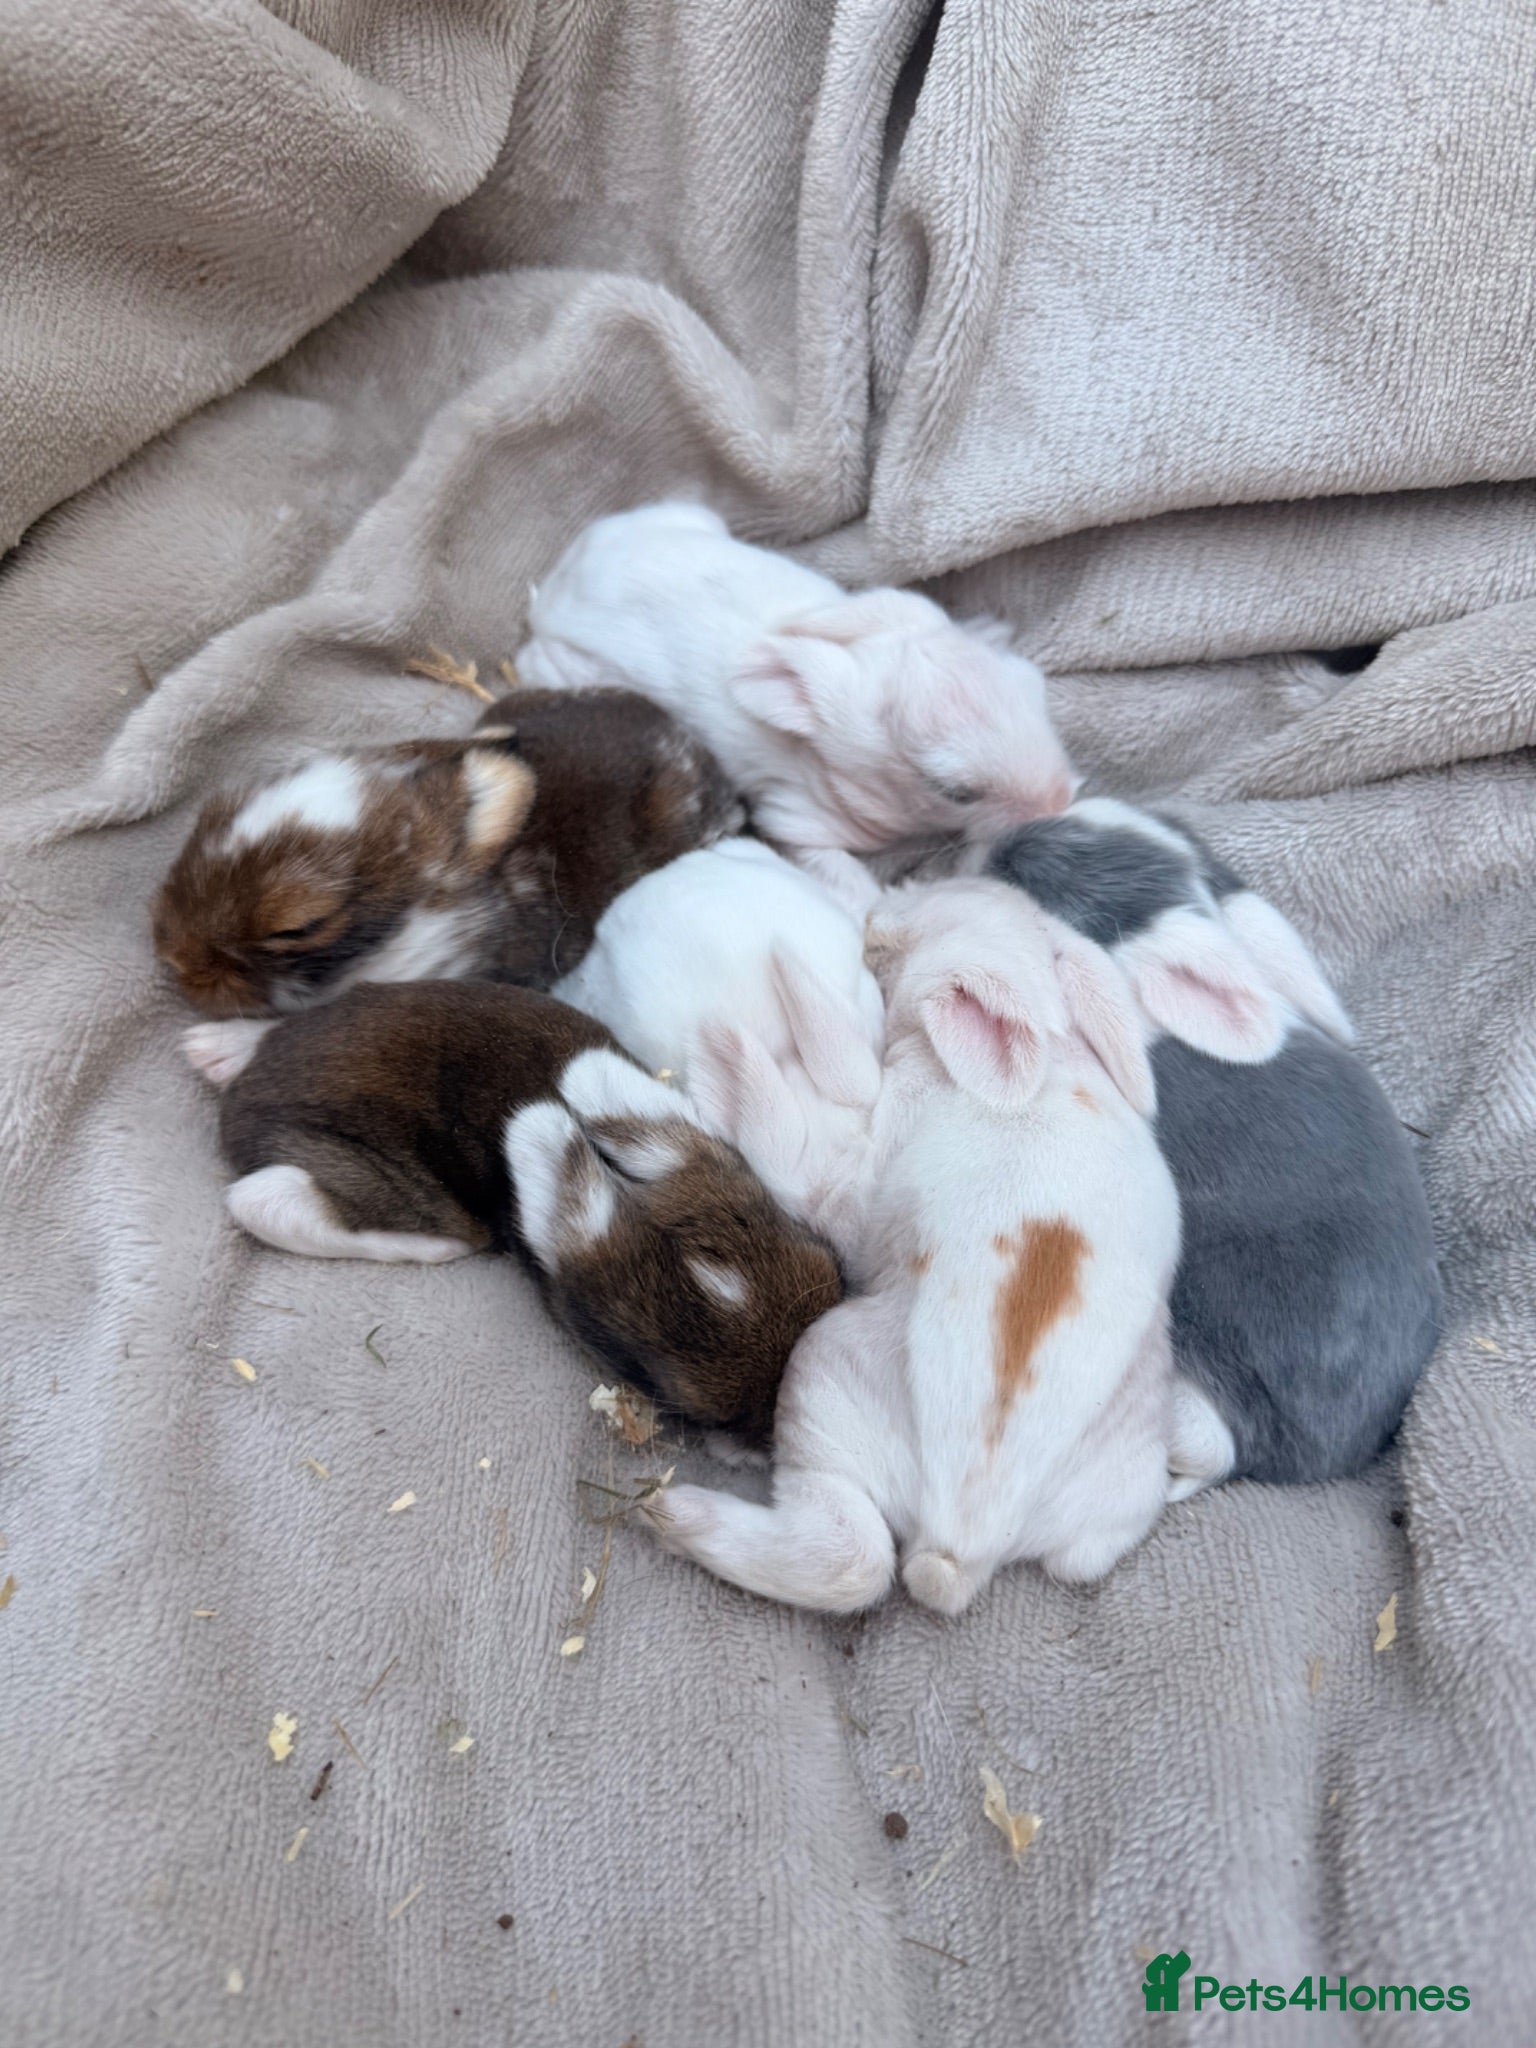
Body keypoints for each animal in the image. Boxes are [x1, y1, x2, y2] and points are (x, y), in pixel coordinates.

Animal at [182, 982, 843, 1447]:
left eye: (832, 1268)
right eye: (703, 1412)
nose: (772, 1431)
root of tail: (241, 1106)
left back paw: (215, 1048)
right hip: (380, 1180)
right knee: (261, 1201)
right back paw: (439, 1247)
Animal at [515, 500, 1077, 854]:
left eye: (1035, 688)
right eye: (955, 792)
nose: (1061, 802)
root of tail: (557, 589)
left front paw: (991, 628)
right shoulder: (794, 816)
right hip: (560, 666)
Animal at [641, 877, 1180, 1615]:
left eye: (911, 926)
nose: (886, 901)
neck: (1050, 1052)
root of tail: (963, 1543)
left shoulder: (860, 1178)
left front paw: (781, 981)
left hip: (821, 1383)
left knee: (849, 1558)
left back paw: (674, 1513)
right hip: (1118, 1499)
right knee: (1079, 1561)